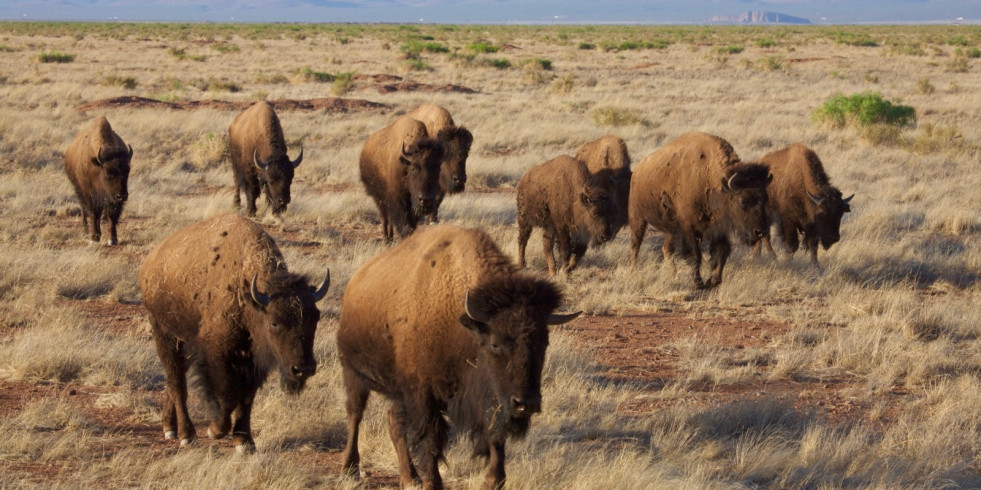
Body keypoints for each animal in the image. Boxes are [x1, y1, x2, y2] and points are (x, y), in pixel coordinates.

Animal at [63, 115, 132, 245]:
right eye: (108, 173)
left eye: (128, 171)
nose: (122, 196)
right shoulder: (90, 194)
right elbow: (94, 213)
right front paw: (94, 237)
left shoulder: (112, 199)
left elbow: (112, 216)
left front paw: (112, 239)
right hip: (79, 190)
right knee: (84, 209)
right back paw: (85, 230)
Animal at [139, 215, 330, 456]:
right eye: (274, 322)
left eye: (316, 317)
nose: (303, 369)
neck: (248, 295)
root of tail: (150, 263)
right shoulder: (217, 355)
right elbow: (227, 397)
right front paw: (214, 431)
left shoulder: (252, 362)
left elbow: (246, 399)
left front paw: (244, 442)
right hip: (165, 335)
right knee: (177, 382)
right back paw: (186, 435)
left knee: (174, 380)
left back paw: (169, 427)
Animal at [338, 225, 580, 490]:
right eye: (495, 343)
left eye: (544, 343)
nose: (526, 404)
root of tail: (355, 283)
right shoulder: (423, 395)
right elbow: (430, 441)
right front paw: (433, 483)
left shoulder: (490, 400)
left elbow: (495, 439)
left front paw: (493, 480)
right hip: (354, 373)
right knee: (355, 414)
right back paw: (349, 469)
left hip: (398, 392)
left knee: (394, 422)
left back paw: (409, 477)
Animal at [360, 113, 444, 243]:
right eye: (413, 168)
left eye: (437, 169)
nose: (425, 199)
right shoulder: (398, 201)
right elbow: (404, 225)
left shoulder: (413, 208)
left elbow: (411, 224)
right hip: (378, 197)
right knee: (384, 217)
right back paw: (386, 239)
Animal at [628, 132, 772, 290]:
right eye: (743, 201)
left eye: (765, 198)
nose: (761, 231)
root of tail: (637, 171)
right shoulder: (689, 228)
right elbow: (695, 254)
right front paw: (698, 282)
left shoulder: (719, 228)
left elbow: (722, 251)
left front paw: (714, 281)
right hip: (637, 218)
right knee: (635, 245)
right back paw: (634, 271)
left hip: (671, 230)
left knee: (667, 250)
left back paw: (674, 276)